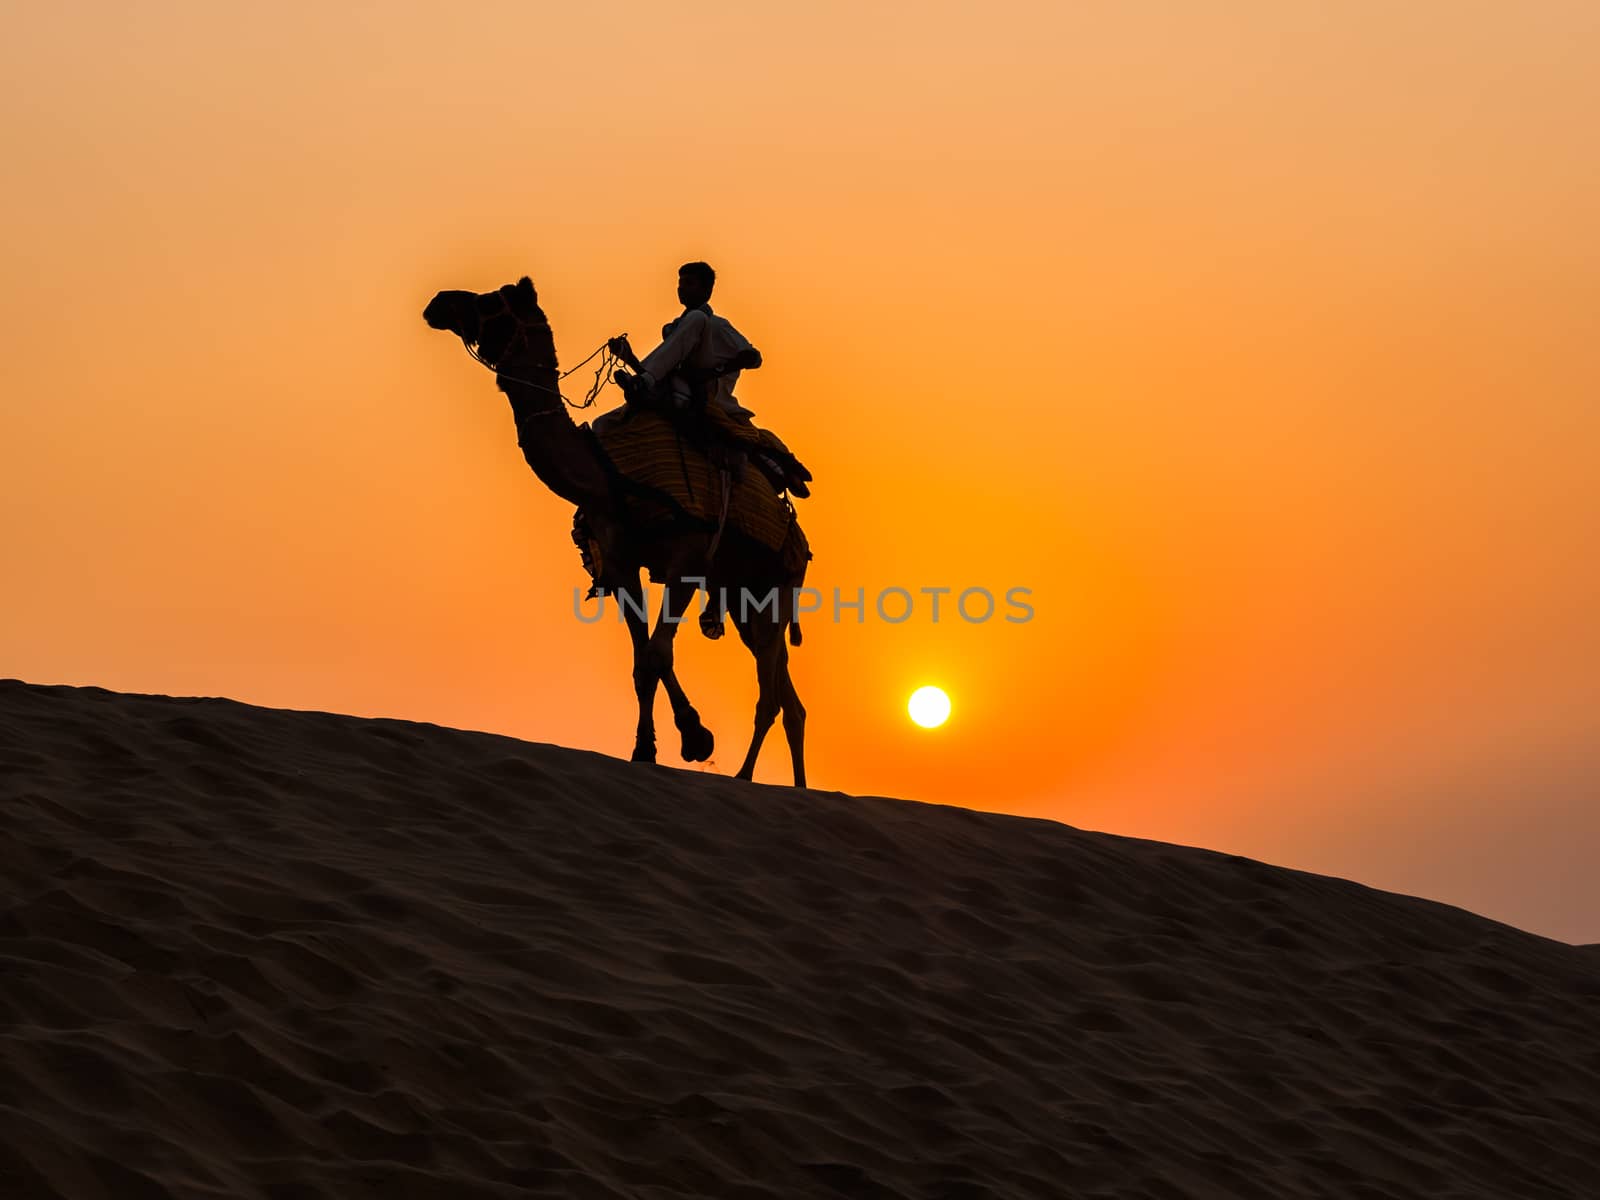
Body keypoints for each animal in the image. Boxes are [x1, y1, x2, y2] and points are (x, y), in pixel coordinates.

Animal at [422, 280, 812, 790]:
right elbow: (642, 661)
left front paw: (695, 738)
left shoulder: (686, 559)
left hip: (776, 589)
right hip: (743, 599)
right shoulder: (623, 562)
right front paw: (647, 749)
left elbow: (657, 654)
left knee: (770, 694)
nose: (439, 303)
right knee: (789, 698)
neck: (606, 476)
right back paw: (798, 787)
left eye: (491, 301)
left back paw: (745, 777)